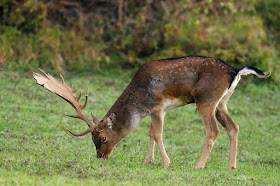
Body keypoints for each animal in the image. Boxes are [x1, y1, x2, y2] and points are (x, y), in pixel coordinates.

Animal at [33, 56, 272, 171]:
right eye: (93, 140)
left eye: (103, 138)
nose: (101, 157)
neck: (139, 102)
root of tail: (235, 71)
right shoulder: (154, 111)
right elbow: (150, 133)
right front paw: (149, 161)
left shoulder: (157, 106)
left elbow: (157, 134)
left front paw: (166, 163)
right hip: (222, 102)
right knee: (234, 127)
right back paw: (232, 167)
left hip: (206, 99)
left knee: (213, 131)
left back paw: (198, 165)